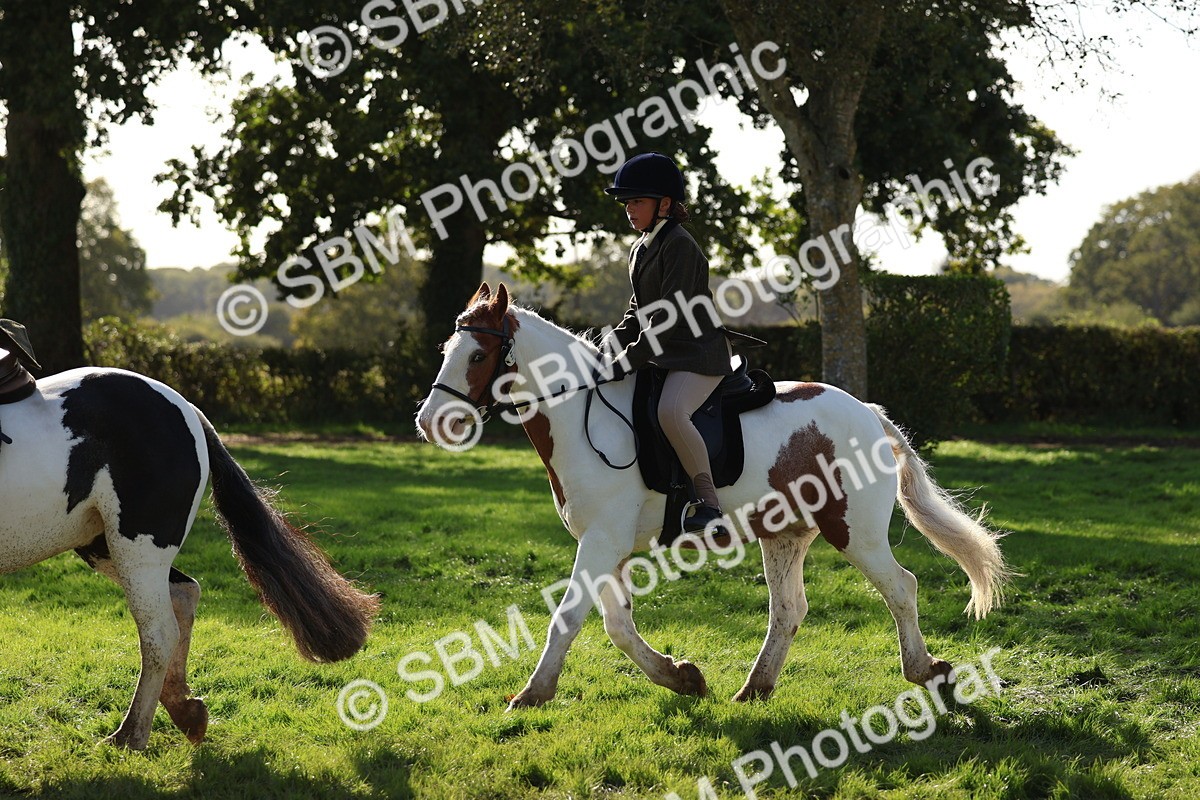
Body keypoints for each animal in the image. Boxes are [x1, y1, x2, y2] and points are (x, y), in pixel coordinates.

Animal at [0, 364, 379, 749]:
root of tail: (186, 408)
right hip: (104, 545)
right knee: (184, 594)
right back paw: (184, 709)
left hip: (137, 546)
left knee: (159, 633)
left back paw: (131, 734)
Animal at [416, 283, 1010, 709]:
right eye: (448, 350)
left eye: (477, 357)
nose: (430, 422)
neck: (582, 414)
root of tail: (868, 412)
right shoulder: (605, 545)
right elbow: (616, 624)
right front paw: (682, 678)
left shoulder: (602, 542)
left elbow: (570, 618)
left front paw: (531, 695)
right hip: (784, 533)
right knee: (789, 608)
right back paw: (755, 688)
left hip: (854, 532)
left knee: (901, 588)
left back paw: (926, 672)